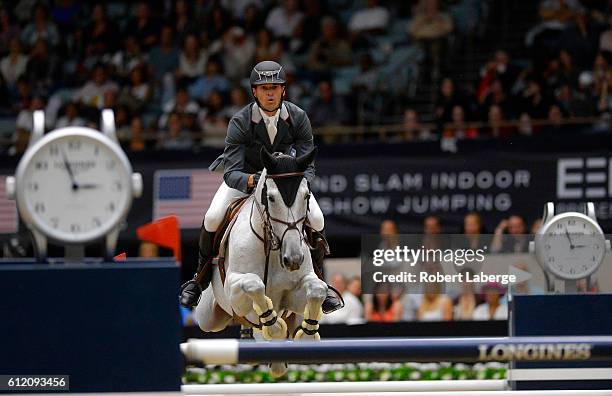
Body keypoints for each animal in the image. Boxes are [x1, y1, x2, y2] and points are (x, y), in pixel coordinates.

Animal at [196, 148, 330, 374]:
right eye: (271, 198)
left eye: (306, 196)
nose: (293, 259)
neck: (273, 245)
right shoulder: (234, 291)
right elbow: (254, 285)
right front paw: (274, 328)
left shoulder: (294, 293)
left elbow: (317, 289)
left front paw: (307, 335)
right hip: (207, 316)